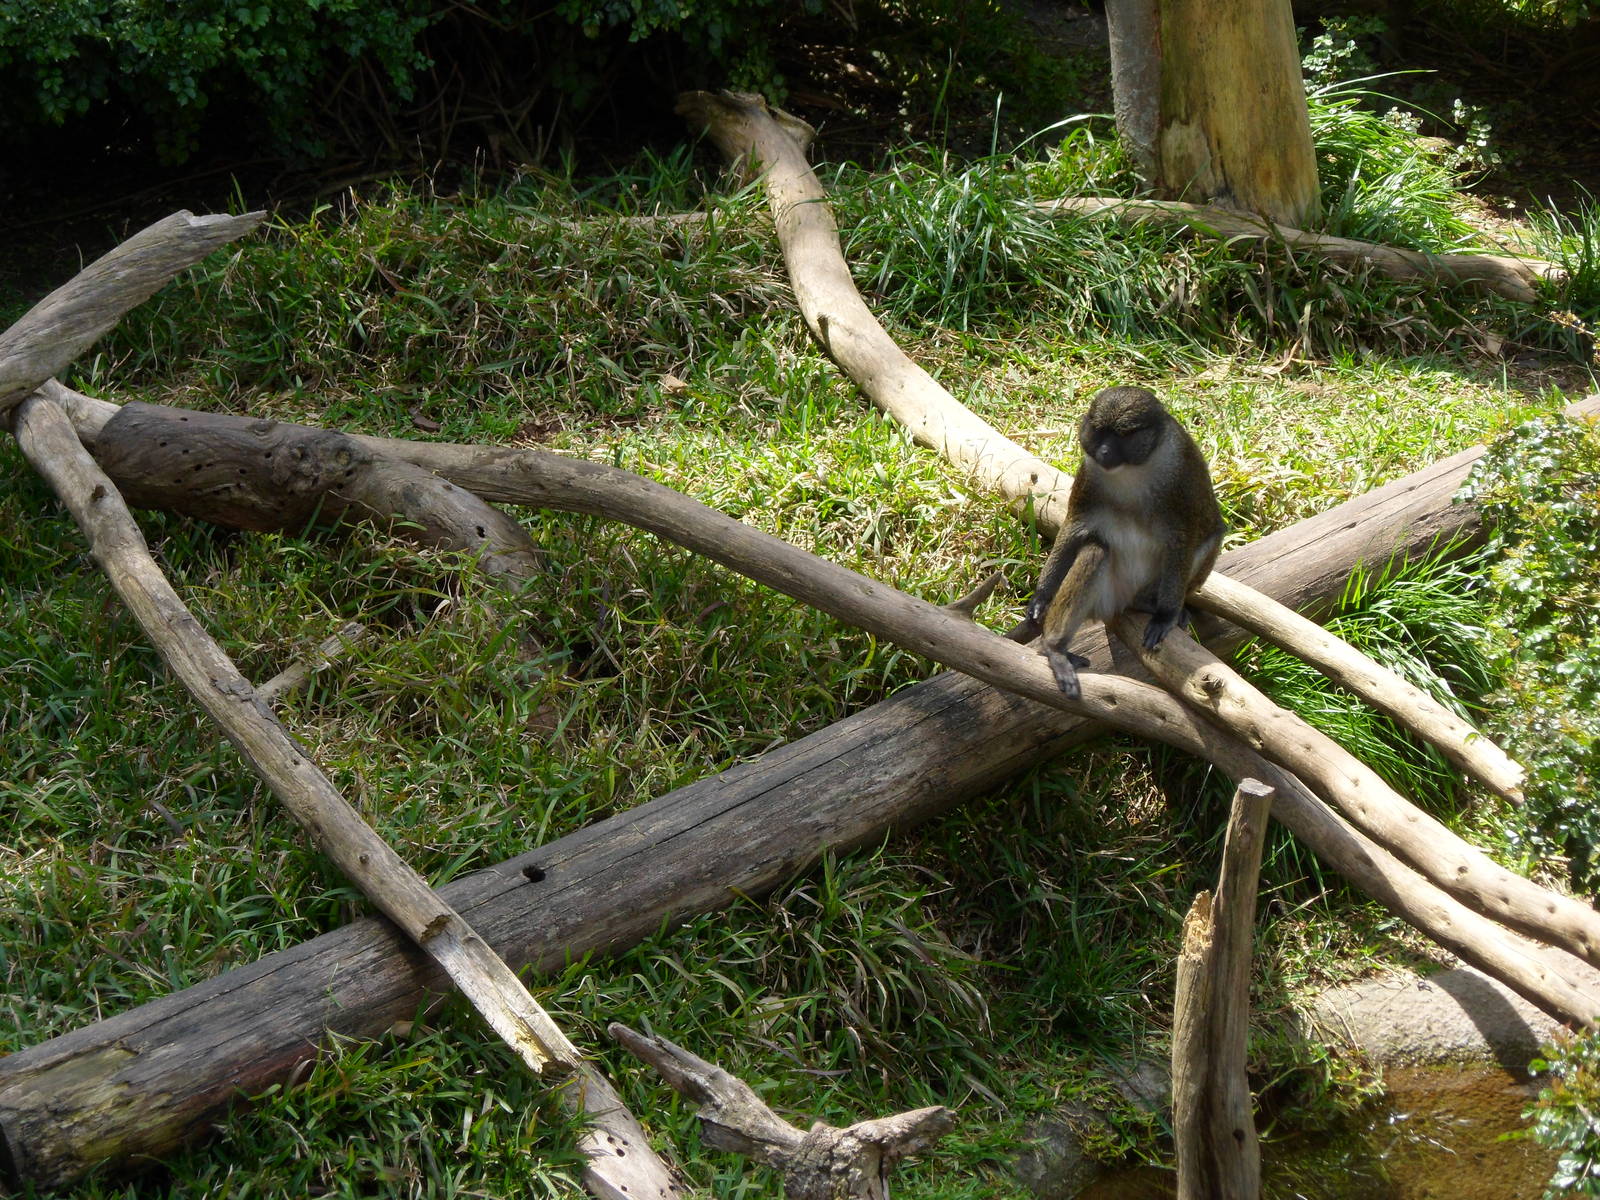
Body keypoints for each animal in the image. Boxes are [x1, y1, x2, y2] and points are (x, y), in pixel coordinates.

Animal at [1025, 386, 1223, 699]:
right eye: (1099, 431)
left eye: (1124, 434)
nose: (1105, 451)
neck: (1133, 469)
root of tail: (1124, 601)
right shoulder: (1089, 476)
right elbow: (1074, 529)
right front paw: (1041, 598)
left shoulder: (1181, 476)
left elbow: (1183, 541)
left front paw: (1166, 616)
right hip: (1107, 594)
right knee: (1095, 551)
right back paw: (1055, 650)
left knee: (1209, 539)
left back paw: (1149, 605)